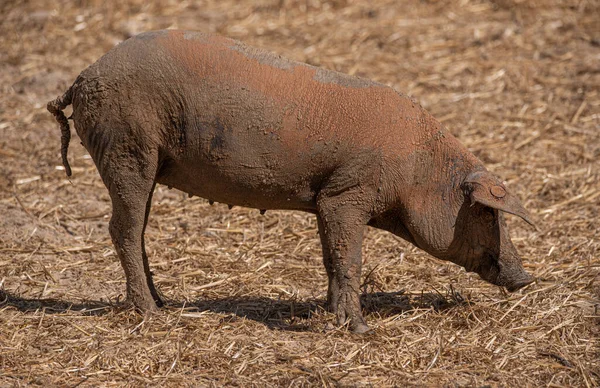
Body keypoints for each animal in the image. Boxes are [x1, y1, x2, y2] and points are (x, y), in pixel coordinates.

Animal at [48, 30, 536, 334]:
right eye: (485, 213)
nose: (527, 278)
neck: (419, 170)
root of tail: (82, 77)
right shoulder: (348, 193)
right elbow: (349, 258)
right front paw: (359, 329)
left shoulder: (325, 199)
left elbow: (330, 258)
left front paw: (326, 312)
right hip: (127, 148)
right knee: (123, 229)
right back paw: (152, 314)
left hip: (139, 160)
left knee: (137, 229)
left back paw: (163, 301)